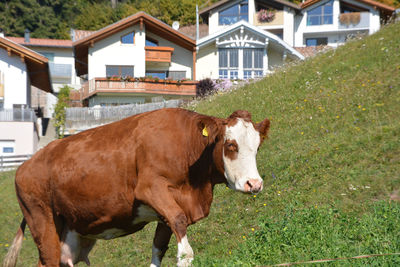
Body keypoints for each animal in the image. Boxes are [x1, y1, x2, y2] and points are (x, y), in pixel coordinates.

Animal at [3, 108, 270, 266]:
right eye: (231, 145)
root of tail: (26, 164)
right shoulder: (151, 189)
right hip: (41, 220)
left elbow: (159, 249)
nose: (254, 184)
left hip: (71, 235)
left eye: (257, 146)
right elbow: (185, 250)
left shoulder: (166, 214)